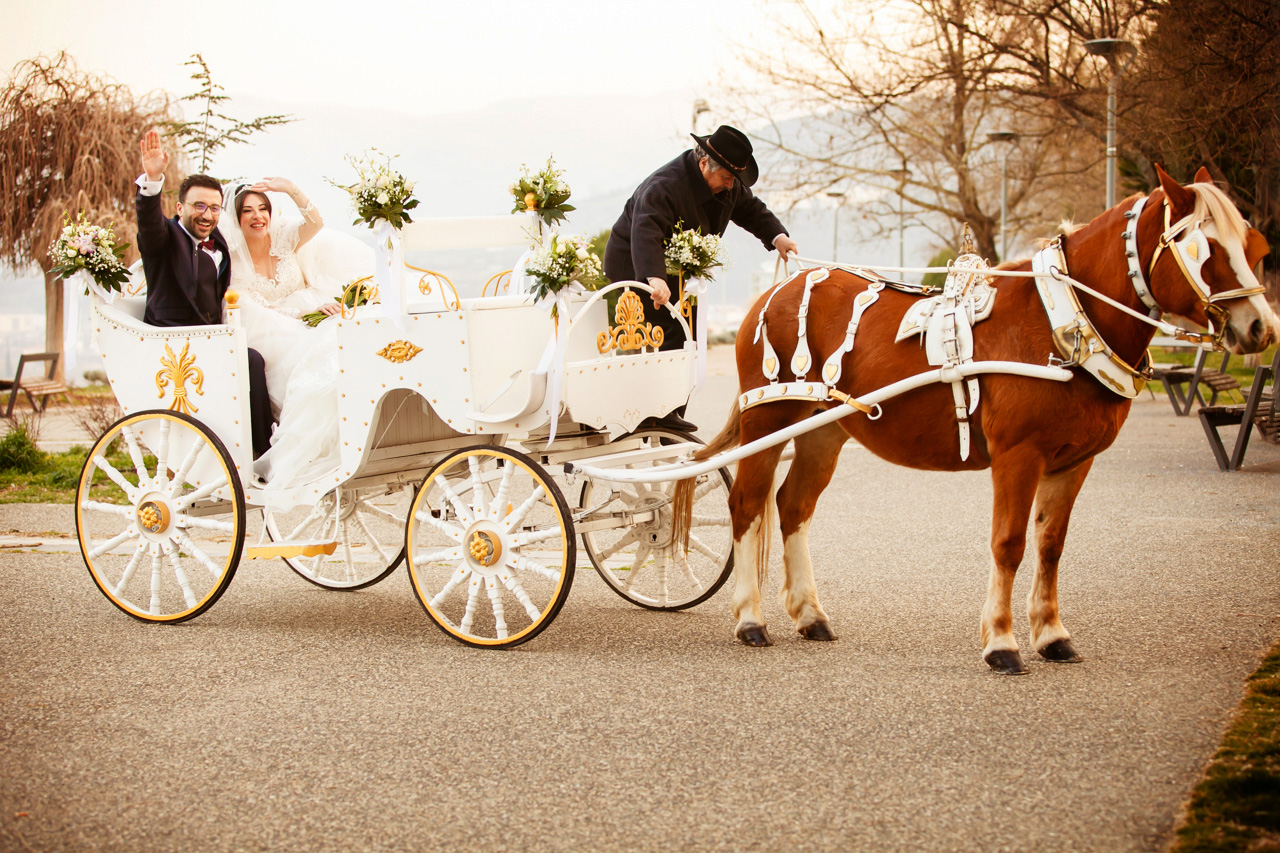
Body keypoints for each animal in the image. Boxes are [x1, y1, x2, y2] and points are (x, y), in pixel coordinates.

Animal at [675, 163, 1274, 671]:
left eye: (1255, 245)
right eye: (1206, 247)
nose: (1262, 328)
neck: (1057, 322)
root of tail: (778, 288)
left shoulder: (1073, 461)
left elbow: (1051, 545)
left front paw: (1051, 634)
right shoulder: (1018, 456)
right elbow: (1009, 543)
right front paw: (1002, 642)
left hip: (822, 431)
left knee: (793, 506)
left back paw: (809, 614)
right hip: (770, 420)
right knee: (746, 506)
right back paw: (750, 618)